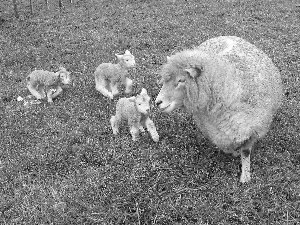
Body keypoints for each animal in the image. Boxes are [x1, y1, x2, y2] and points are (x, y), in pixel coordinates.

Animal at [156, 35, 282, 183]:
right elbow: (226, 145)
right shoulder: (214, 130)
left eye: (181, 80)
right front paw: (233, 153)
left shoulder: (252, 129)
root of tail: (227, 36)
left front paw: (245, 176)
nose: (157, 102)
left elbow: (245, 152)